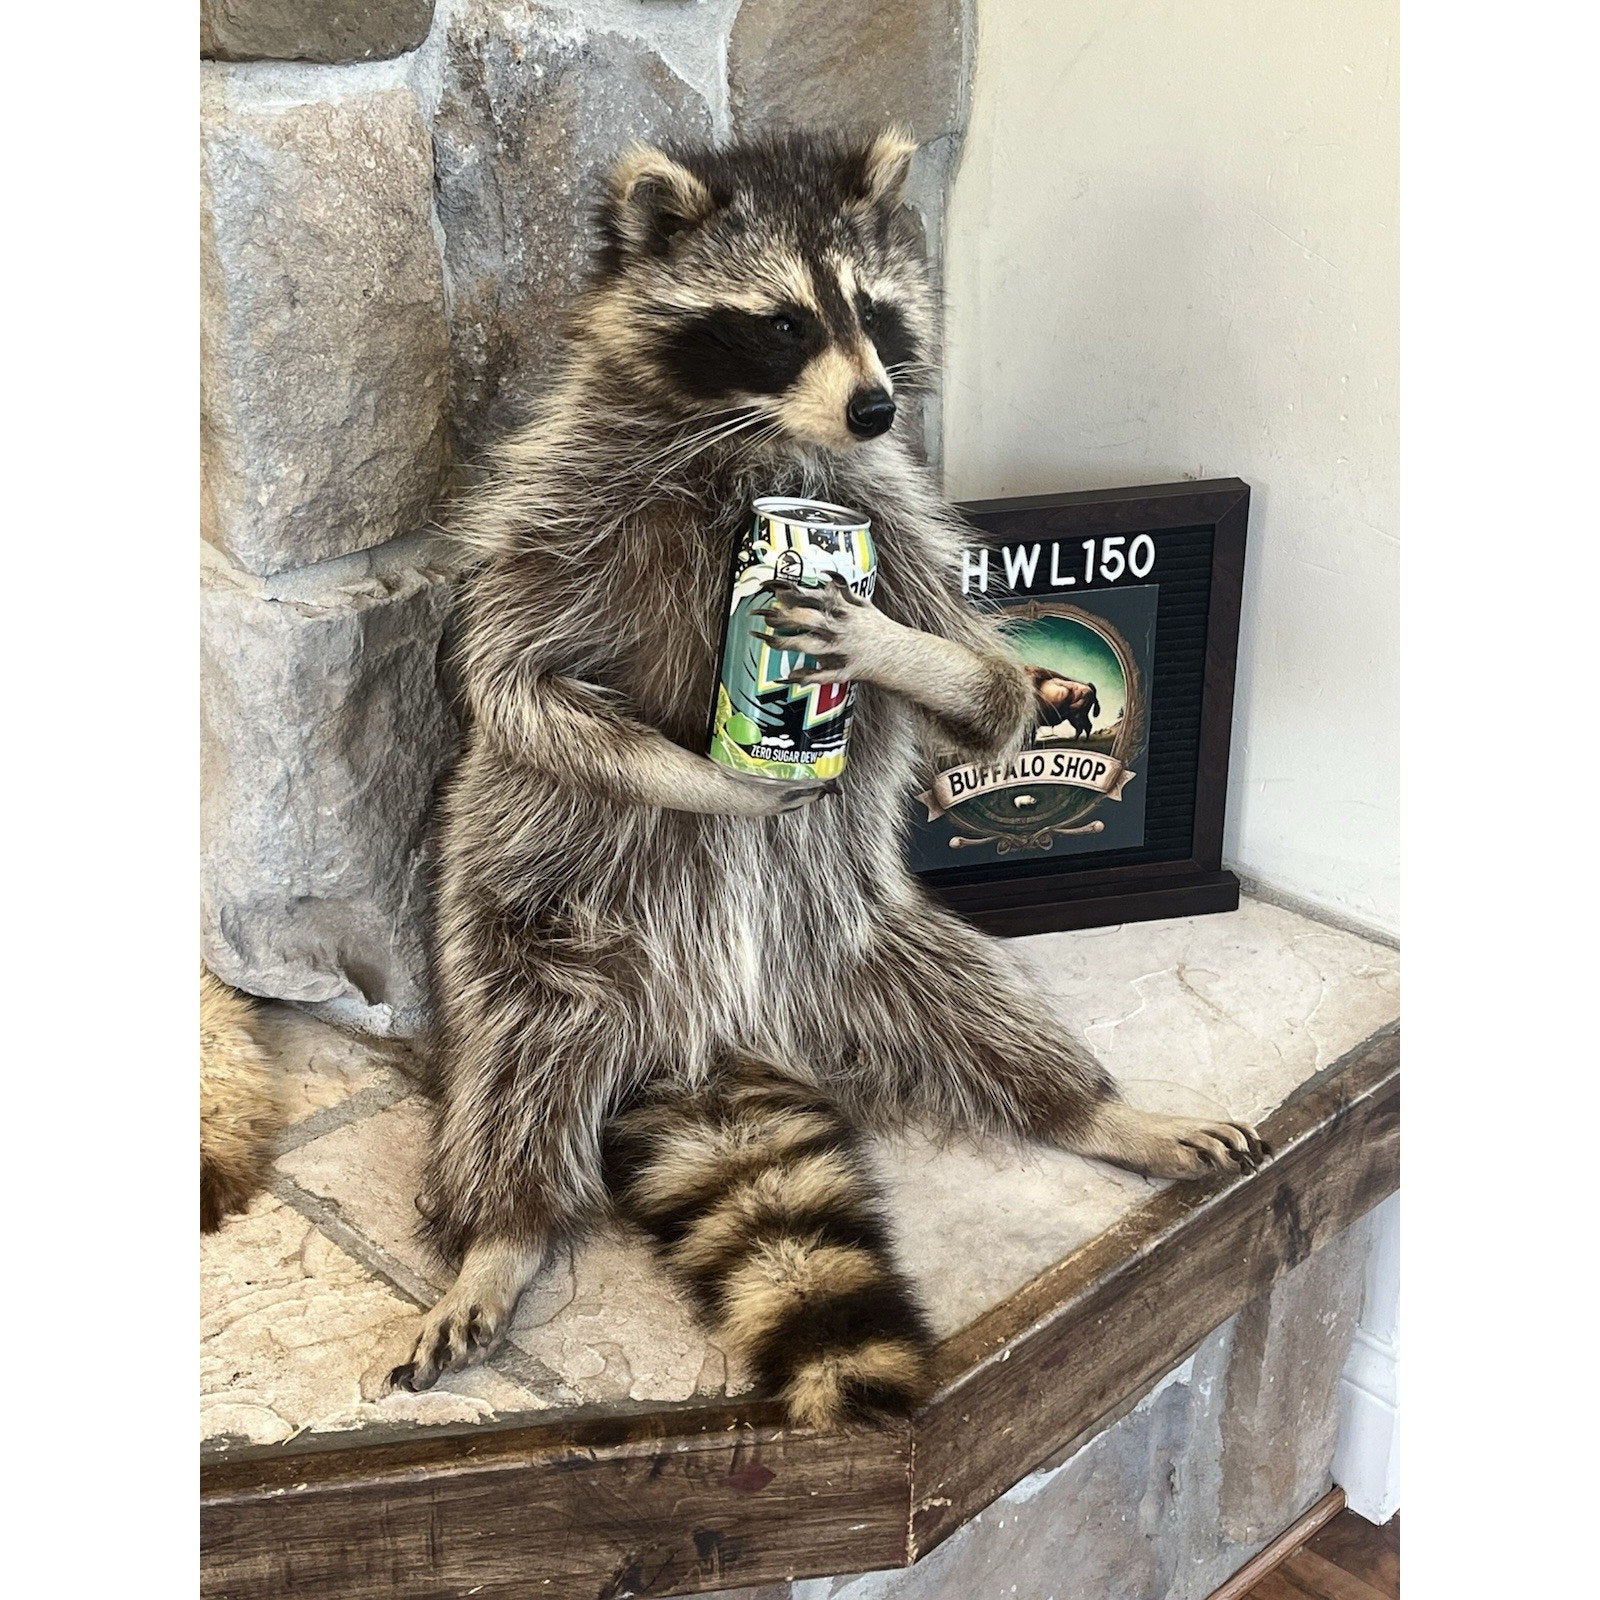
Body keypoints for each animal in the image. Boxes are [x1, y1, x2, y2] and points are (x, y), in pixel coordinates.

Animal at [374, 130, 1264, 1427]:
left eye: (873, 310)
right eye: (784, 323)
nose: (878, 402)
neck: (749, 438)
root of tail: (706, 1043)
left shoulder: (892, 512)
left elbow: (991, 698)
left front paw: (884, 645)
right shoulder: (559, 504)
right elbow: (510, 686)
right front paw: (716, 780)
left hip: (860, 943)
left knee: (975, 1004)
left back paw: (1093, 1106)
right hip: (533, 941)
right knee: (509, 1070)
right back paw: (505, 1229)